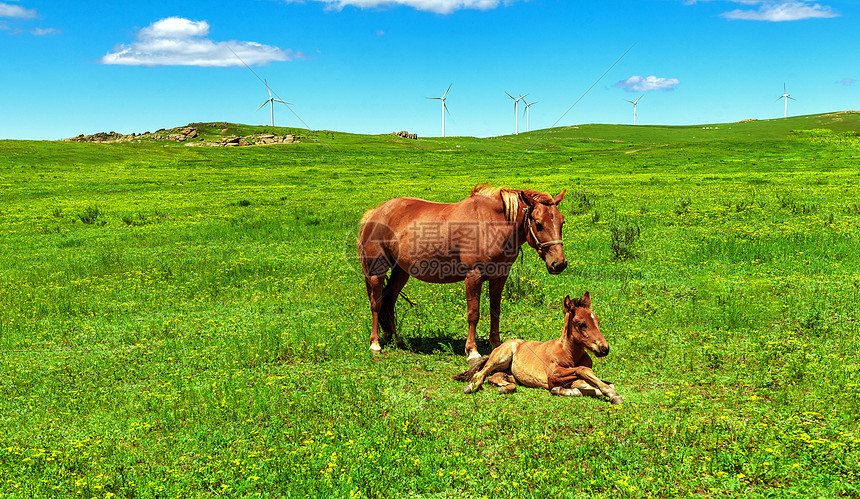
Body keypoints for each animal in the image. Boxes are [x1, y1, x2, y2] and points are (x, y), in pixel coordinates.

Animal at [356, 184, 564, 364]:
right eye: (538, 224)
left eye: (562, 222)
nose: (559, 263)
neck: (491, 224)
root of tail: (375, 213)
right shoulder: (473, 277)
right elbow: (473, 314)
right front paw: (472, 351)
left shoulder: (499, 277)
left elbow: (495, 311)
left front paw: (496, 344)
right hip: (377, 271)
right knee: (376, 304)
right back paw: (375, 344)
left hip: (401, 272)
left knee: (389, 301)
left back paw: (396, 339)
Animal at [454, 292, 620, 406]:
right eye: (581, 324)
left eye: (597, 321)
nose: (604, 348)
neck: (570, 353)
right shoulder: (553, 375)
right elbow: (583, 370)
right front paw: (614, 395)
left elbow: (602, 383)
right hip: (500, 357)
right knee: (481, 374)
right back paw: (471, 387)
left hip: (508, 372)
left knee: (495, 377)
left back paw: (505, 388)